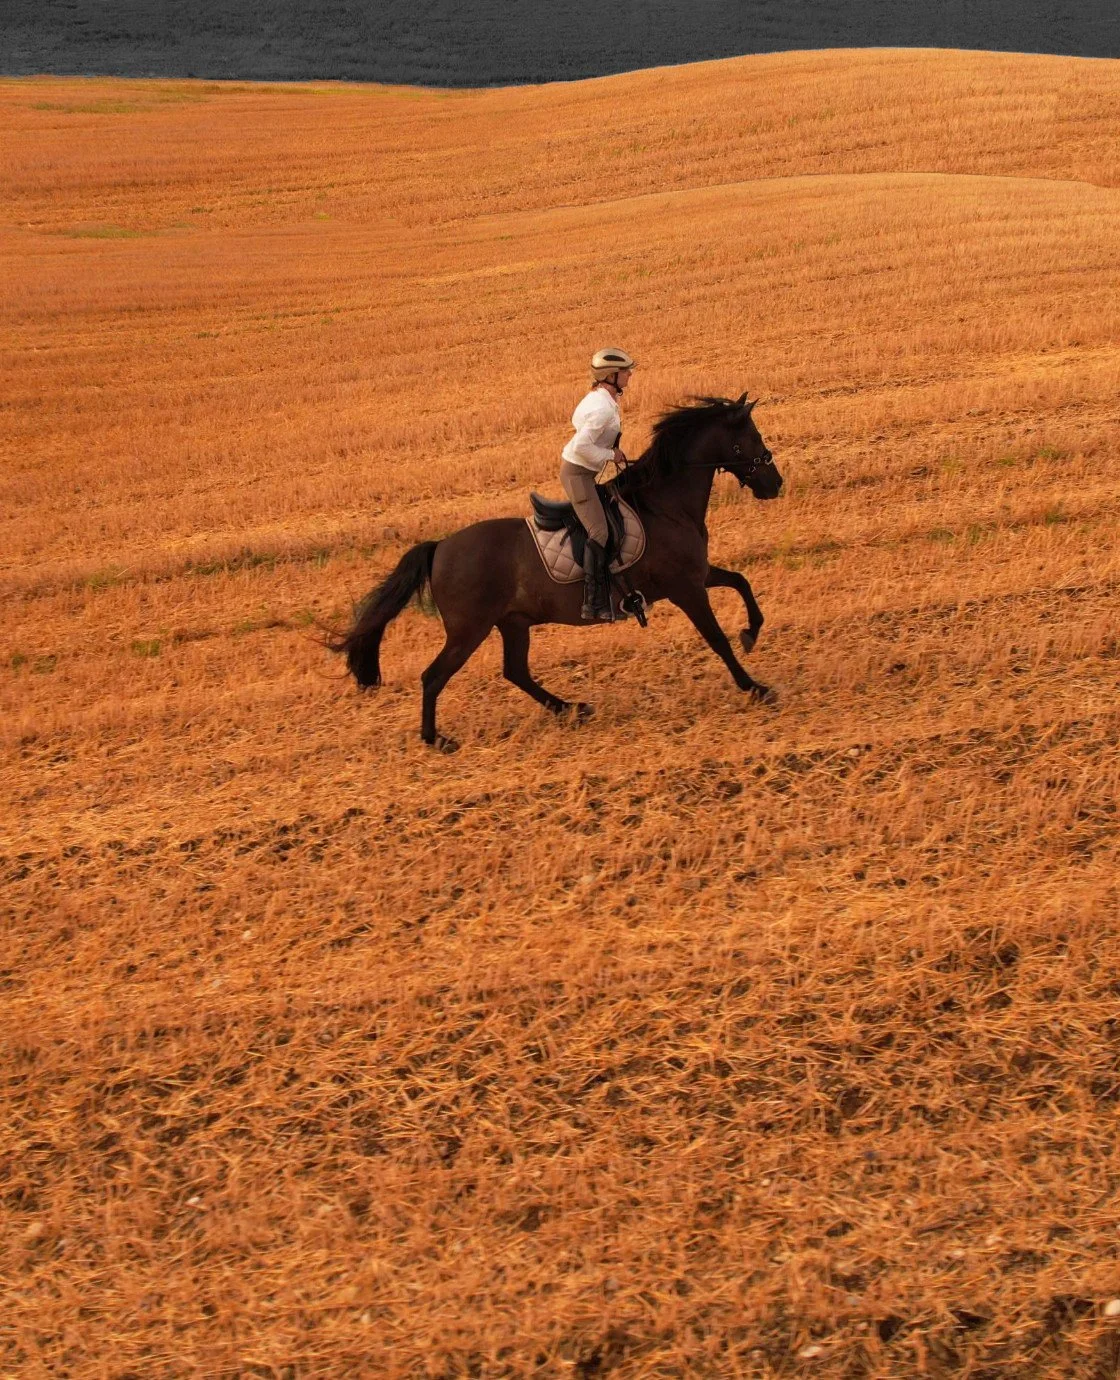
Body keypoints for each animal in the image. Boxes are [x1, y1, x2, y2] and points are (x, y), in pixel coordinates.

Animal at [329, 394, 783, 751]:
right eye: (752, 437)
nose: (775, 483)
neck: (664, 505)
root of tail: (440, 547)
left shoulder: (696, 576)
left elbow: (741, 583)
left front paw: (751, 633)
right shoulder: (685, 588)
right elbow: (717, 639)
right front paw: (756, 687)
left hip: (512, 623)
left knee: (515, 671)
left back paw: (571, 708)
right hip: (469, 631)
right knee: (434, 676)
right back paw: (436, 740)